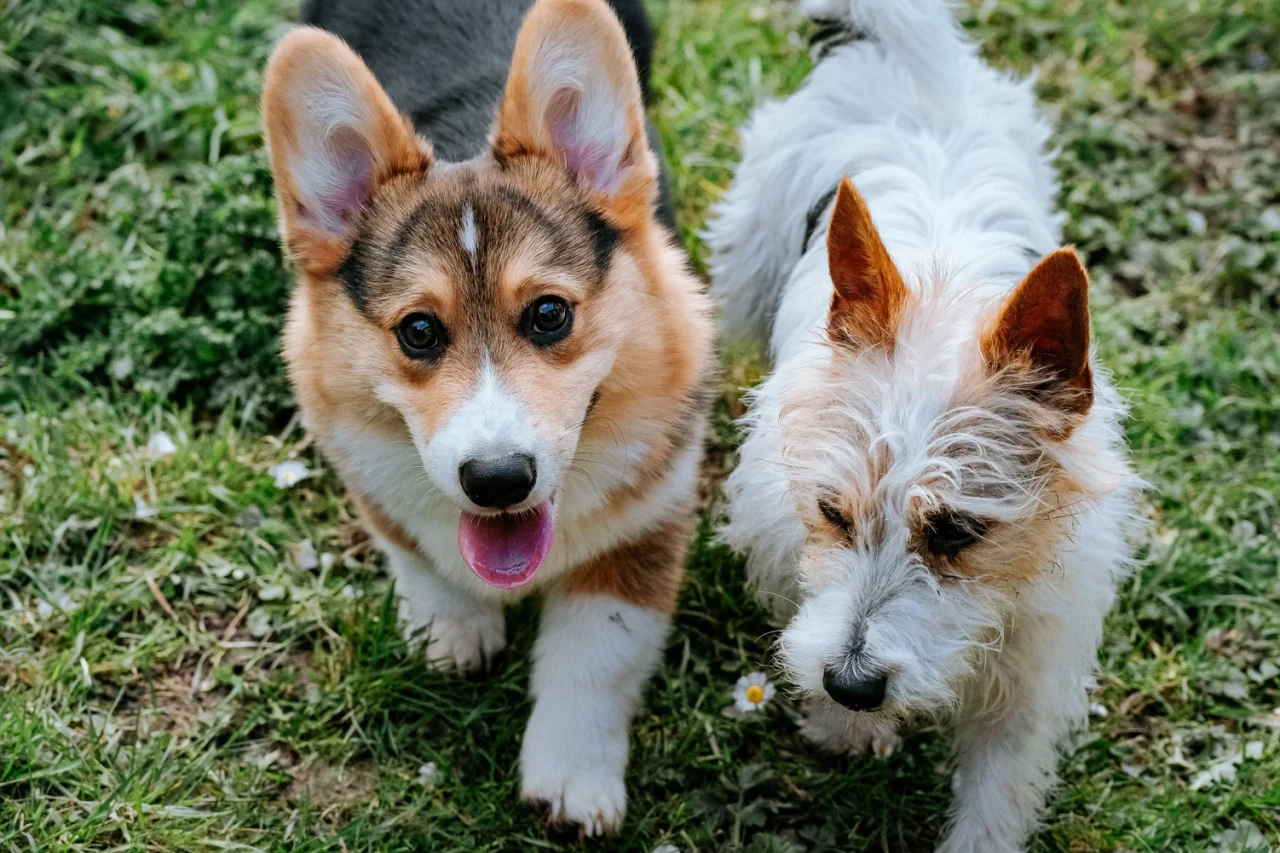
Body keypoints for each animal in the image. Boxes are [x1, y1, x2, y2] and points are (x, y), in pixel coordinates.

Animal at [263, 0, 716, 835]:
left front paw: (572, 779)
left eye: (549, 314)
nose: (499, 481)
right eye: (417, 330)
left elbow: (596, 654)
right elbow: (415, 550)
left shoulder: (646, 524)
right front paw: (452, 627)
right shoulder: (362, 460)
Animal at [711, 1, 1141, 850]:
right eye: (832, 513)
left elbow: (996, 795)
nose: (850, 684)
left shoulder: (1030, 674)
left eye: (958, 533)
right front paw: (840, 724)